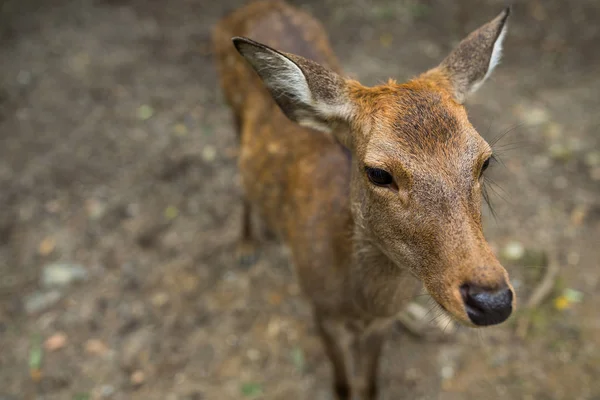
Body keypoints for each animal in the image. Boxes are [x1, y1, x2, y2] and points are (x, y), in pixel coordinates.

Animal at [212, 1, 516, 398]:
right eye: (378, 173)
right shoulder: (320, 310)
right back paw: (246, 244)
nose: (492, 301)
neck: (357, 300)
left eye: (485, 160)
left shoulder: (381, 322)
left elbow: (370, 382)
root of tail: (253, 7)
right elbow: (342, 383)